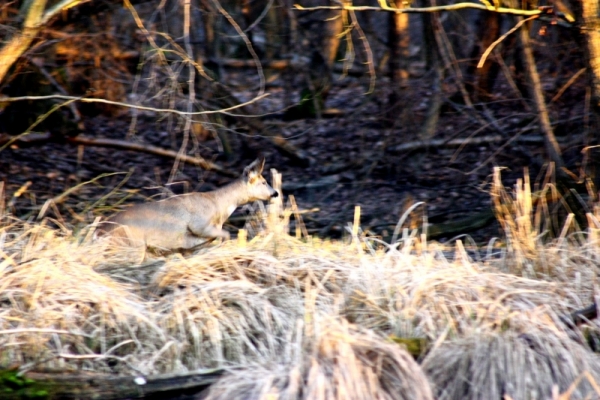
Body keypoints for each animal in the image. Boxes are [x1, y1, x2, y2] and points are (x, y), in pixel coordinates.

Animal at [96, 156, 278, 250]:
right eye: (263, 182)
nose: (275, 193)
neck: (218, 207)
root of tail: (99, 231)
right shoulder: (199, 224)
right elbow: (224, 235)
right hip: (127, 242)